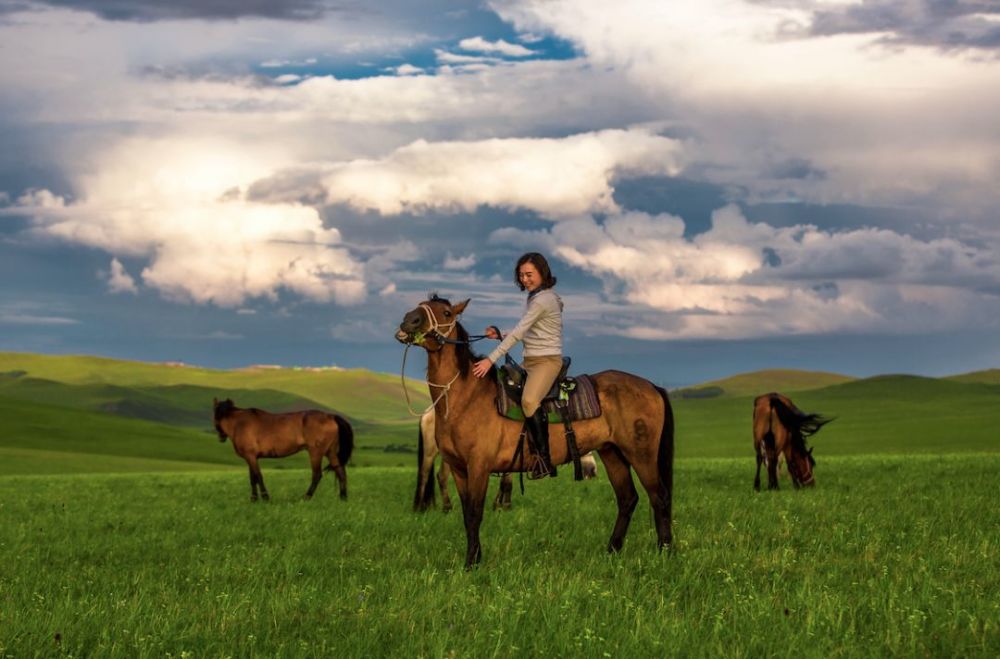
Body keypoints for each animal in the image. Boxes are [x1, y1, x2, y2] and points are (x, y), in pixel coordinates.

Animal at [213, 400, 354, 502]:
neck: (240, 424)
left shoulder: (251, 457)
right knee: (341, 472)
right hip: (331, 453)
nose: (221, 437)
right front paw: (254, 499)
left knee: (317, 474)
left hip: (316, 453)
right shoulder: (250, 457)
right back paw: (343, 498)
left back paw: (306, 497)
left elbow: (258, 476)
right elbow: (252, 478)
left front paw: (265, 497)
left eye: (215, 416)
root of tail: (331, 416)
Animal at [396, 296, 672, 568]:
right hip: (611, 452)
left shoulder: (479, 467)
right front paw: (475, 557)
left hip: (641, 454)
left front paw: (471, 564)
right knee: (628, 498)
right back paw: (612, 550)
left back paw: (664, 551)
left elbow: (475, 513)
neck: (465, 398)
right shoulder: (459, 468)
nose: (409, 320)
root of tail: (650, 386)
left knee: (658, 496)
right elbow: (466, 514)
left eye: (446, 312)